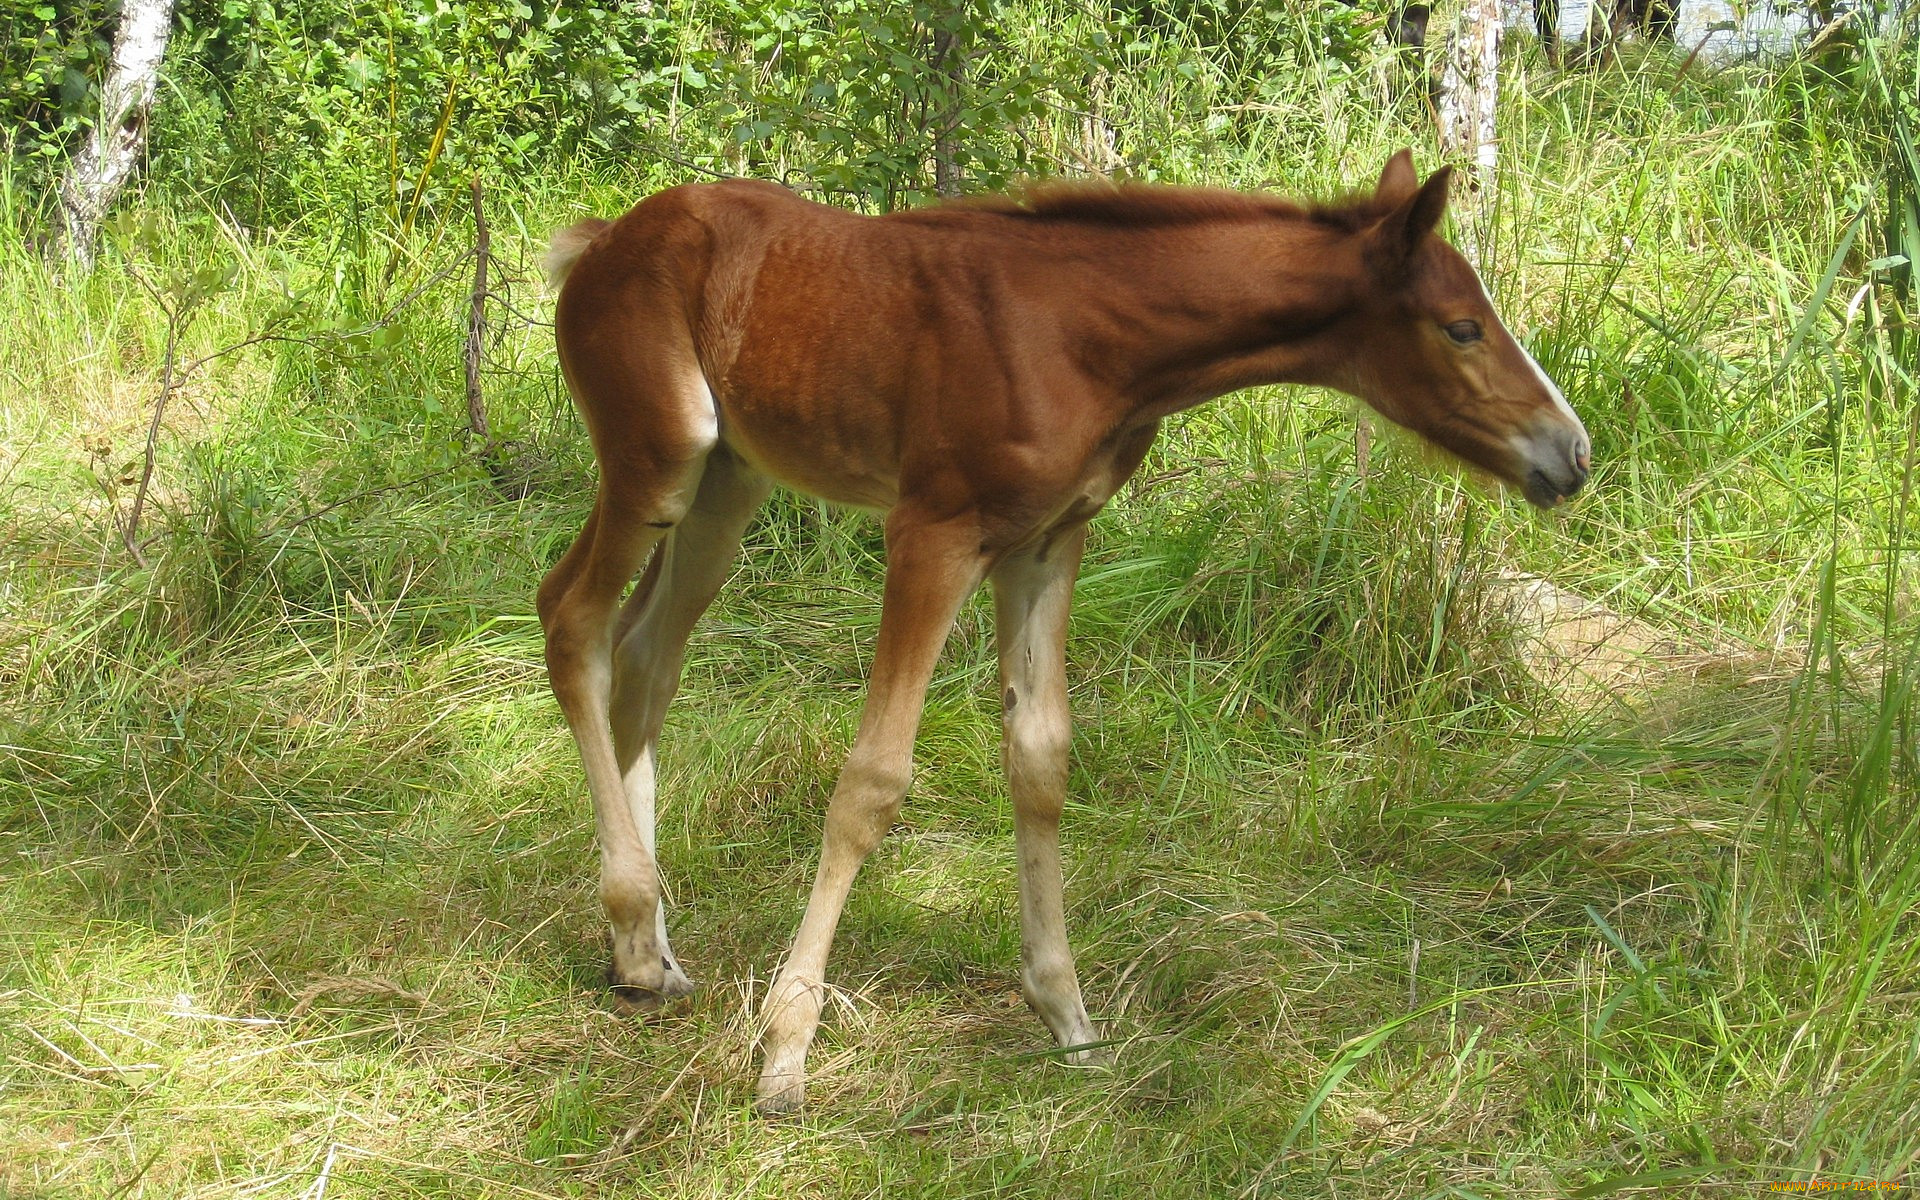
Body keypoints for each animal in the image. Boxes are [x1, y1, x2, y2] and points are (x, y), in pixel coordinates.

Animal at [541, 151, 1589, 1113]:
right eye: (1461, 326)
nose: (1571, 455)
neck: (1090, 337)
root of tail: (601, 240)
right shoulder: (933, 532)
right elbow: (873, 781)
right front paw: (786, 1050)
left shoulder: (1046, 540)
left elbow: (1040, 757)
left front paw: (1070, 1021)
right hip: (659, 454)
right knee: (572, 619)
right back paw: (633, 917)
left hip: (729, 485)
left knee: (647, 655)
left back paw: (644, 952)